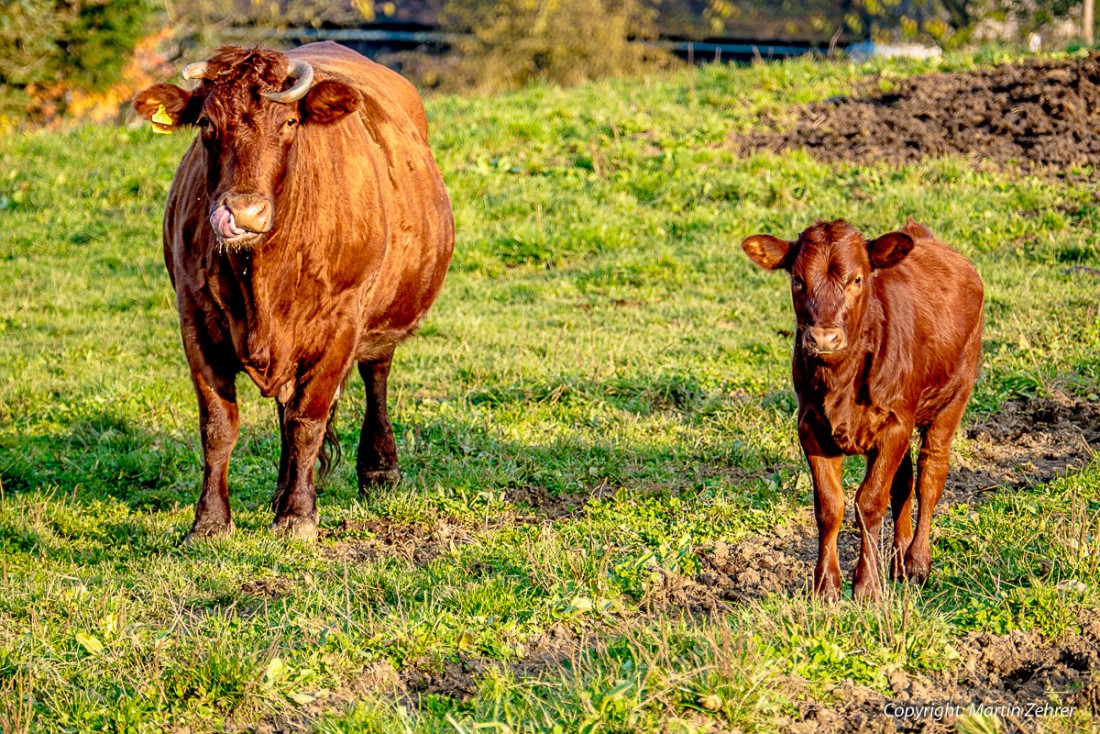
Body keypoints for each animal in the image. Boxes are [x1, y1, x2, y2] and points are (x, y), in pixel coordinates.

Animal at [132, 44, 451, 539]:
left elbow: (307, 420)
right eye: (206, 123)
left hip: (382, 314)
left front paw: (298, 516)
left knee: (375, 374)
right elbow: (219, 425)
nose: (244, 213)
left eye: (288, 122)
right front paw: (210, 520)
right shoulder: (195, 320)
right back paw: (281, 490)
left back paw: (378, 468)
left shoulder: (341, 321)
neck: (260, 273)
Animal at [743, 220, 985, 603]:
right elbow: (830, 505)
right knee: (904, 483)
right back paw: (899, 561)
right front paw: (826, 585)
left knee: (930, 474)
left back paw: (917, 562)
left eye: (857, 279)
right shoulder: (810, 427)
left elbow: (870, 502)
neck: (840, 380)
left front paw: (867, 586)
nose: (823, 339)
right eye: (797, 279)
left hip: (953, 398)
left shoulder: (895, 423)